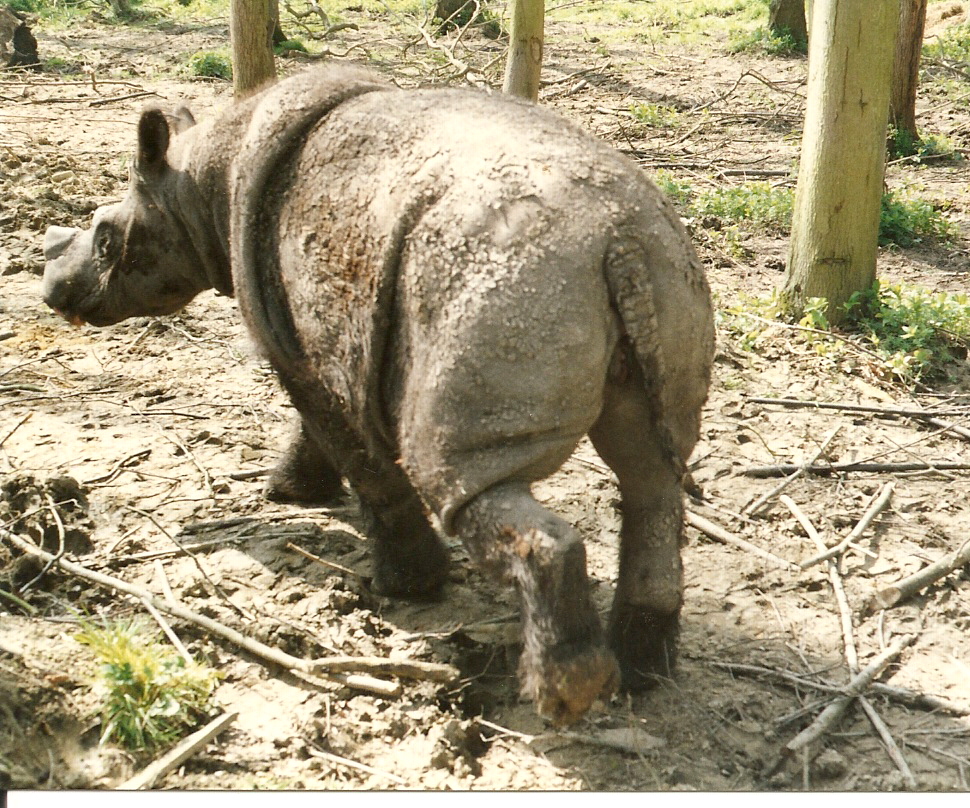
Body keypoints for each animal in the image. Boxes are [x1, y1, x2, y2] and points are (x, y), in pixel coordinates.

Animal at [42, 64, 714, 725]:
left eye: (107, 238)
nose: (52, 292)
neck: (196, 185)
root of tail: (617, 240)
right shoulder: (315, 334)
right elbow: (322, 433)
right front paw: (292, 493)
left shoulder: (288, 339)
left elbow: (356, 453)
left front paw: (407, 585)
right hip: (663, 271)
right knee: (652, 474)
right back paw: (642, 672)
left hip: (502, 291)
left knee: (459, 478)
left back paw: (565, 694)